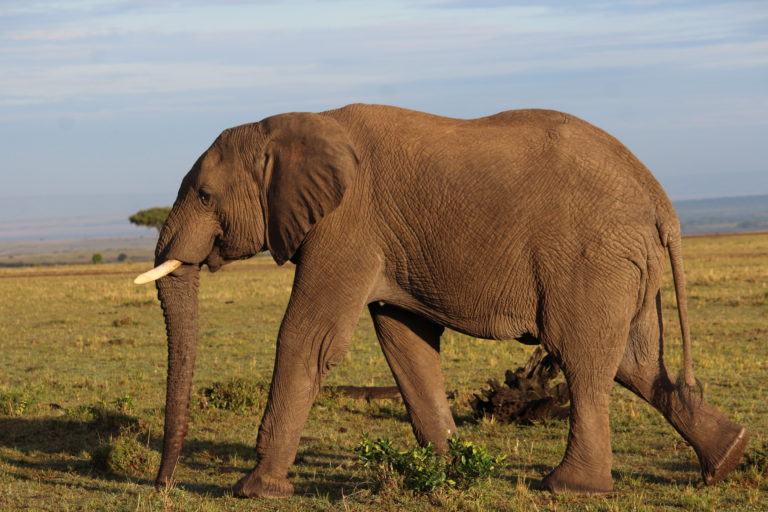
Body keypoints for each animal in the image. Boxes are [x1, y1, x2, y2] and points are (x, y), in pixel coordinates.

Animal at [135, 102, 748, 498]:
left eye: (205, 195)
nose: (163, 486)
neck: (285, 126)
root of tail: (661, 201)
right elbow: (406, 344)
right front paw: (452, 471)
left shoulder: (348, 225)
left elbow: (309, 339)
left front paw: (255, 489)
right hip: (624, 262)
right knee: (637, 363)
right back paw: (726, 460)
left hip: (591, 258)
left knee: (582, 358)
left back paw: (570, 488)